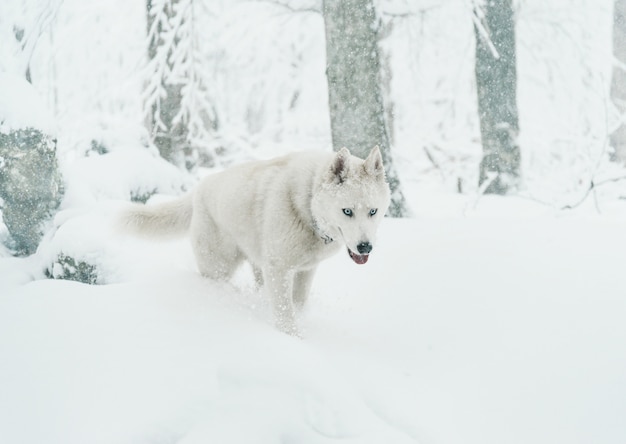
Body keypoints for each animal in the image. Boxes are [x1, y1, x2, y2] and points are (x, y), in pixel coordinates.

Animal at [119, 147, 388, 334]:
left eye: (373, 211)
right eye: (347, 211)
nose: (365, 246)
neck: (306, 205)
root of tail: (199, 189)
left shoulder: (305, 270)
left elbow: (298, 304)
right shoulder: (279, 270)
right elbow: (285, 314)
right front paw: (294, 339)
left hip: (257, 265)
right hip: (218, 267)